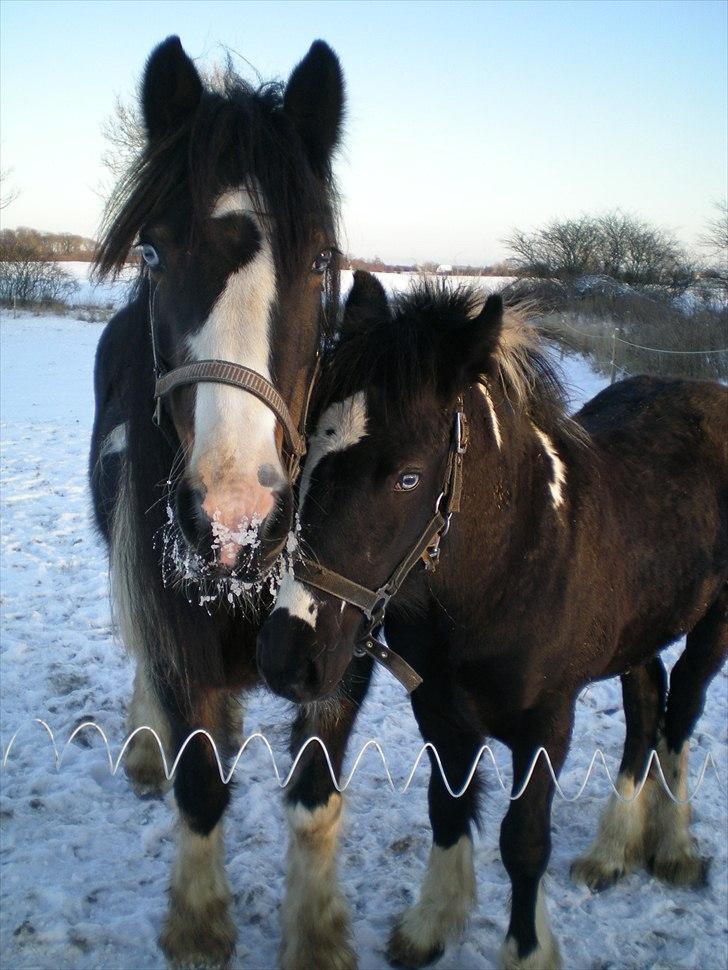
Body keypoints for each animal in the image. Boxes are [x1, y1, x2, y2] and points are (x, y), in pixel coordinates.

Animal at [258, 270, 724, 968]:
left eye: (408, 477)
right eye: (304, 455)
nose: (288, 660)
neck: (508, 569)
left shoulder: (548, 722)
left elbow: (524, 840)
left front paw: (526, 948)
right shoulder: (439, 709)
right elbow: (447, 809)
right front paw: (432, 923)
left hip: (714, 624)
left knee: (682, 709)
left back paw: (673, 848)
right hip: (637, 630)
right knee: (648, 702)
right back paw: (611, 851)